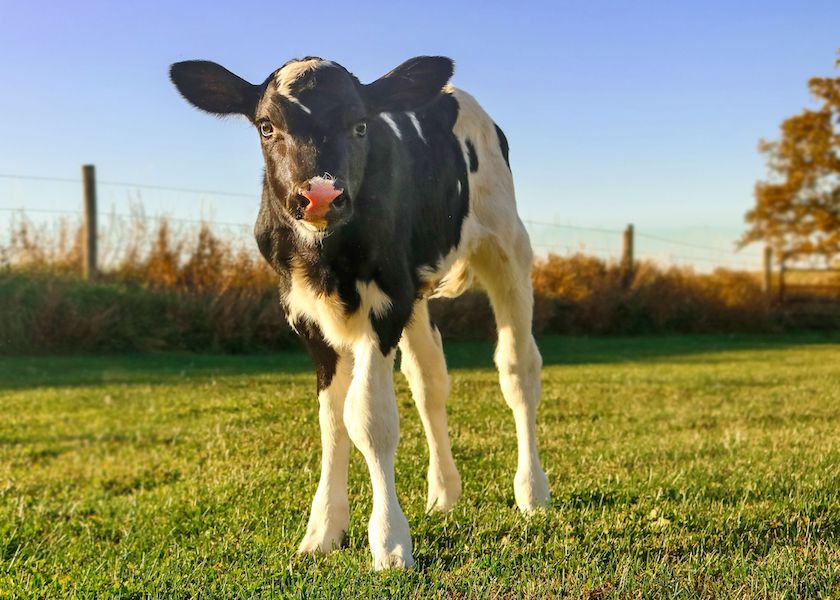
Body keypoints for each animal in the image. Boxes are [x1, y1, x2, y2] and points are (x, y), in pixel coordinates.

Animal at [169, 56, 550, 569]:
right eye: (267, 126)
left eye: (361, 125)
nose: (320, 195)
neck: (327, 263)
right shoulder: (307, 316)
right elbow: (333, 423)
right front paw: (323, 530)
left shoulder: (385, 307)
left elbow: (369, 418)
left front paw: (389, 541)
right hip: (418, 292)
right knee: (429, 381)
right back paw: (443, 493)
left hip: (507, 244)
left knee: (518, 368)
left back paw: (532, 491)